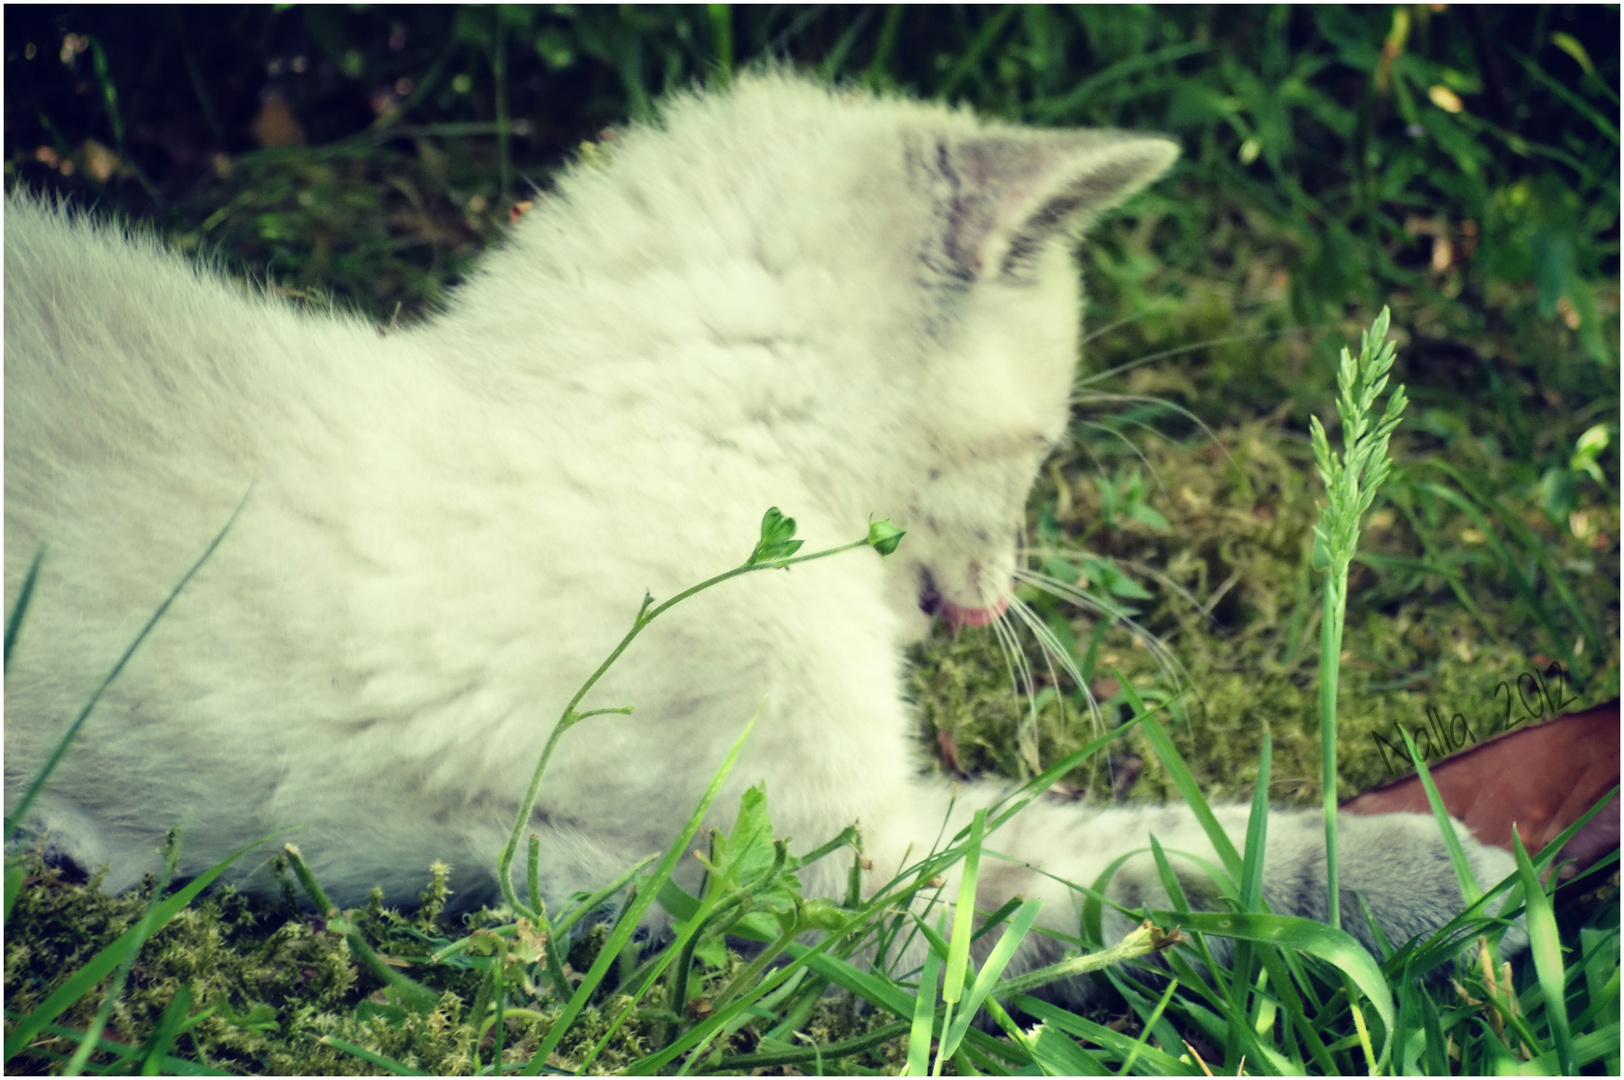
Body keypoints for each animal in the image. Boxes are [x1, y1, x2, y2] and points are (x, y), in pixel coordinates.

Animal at [3, 71, 1520, 987]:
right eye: (1040, 453)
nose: (1006, 586)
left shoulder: (876, 822)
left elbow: (1132, 828)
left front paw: (1452, 863)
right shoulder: (836, 879)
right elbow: (1130, 869)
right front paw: (1460, 883)